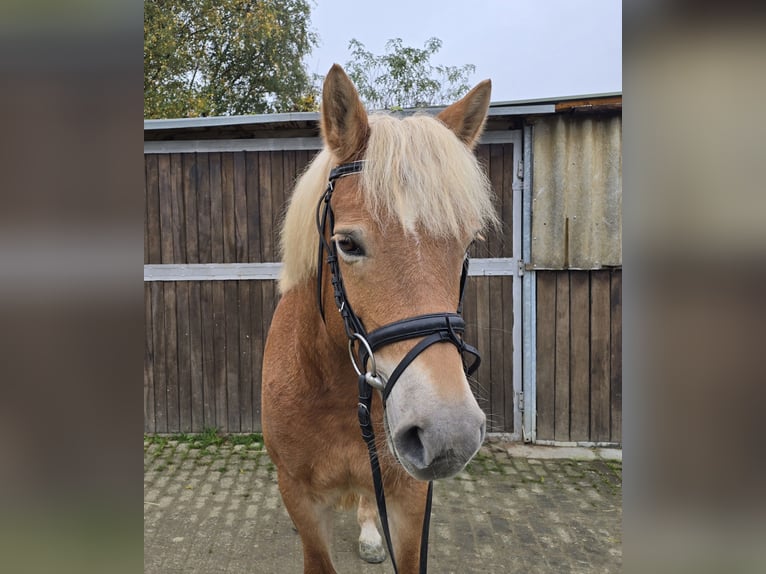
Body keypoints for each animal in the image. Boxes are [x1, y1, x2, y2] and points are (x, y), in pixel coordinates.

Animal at [260, 65, 500, 572]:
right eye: (347, 243)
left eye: (468, 244)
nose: (448, 432)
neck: (333, 391)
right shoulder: (301, 499)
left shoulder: (410, 500)